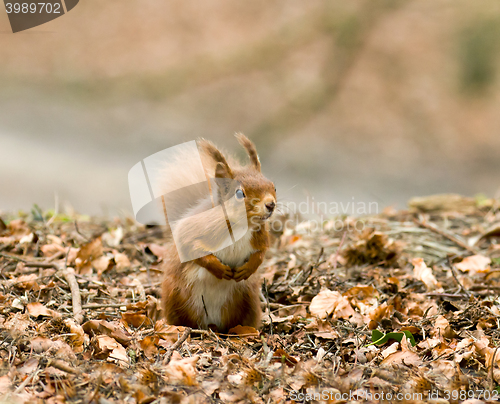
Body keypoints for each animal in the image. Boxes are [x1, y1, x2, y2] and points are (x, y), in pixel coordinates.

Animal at [161, 134, 276, 332]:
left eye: (273, 186)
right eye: (239, 193)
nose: (271, 204)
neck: (242, 227)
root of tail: (211, 323)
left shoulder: (260, 237)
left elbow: (261, 253)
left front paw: (248, 268)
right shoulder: (194, 230)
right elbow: (191, 248)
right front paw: (219, 268)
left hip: (247, 301)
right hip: (177, 295)